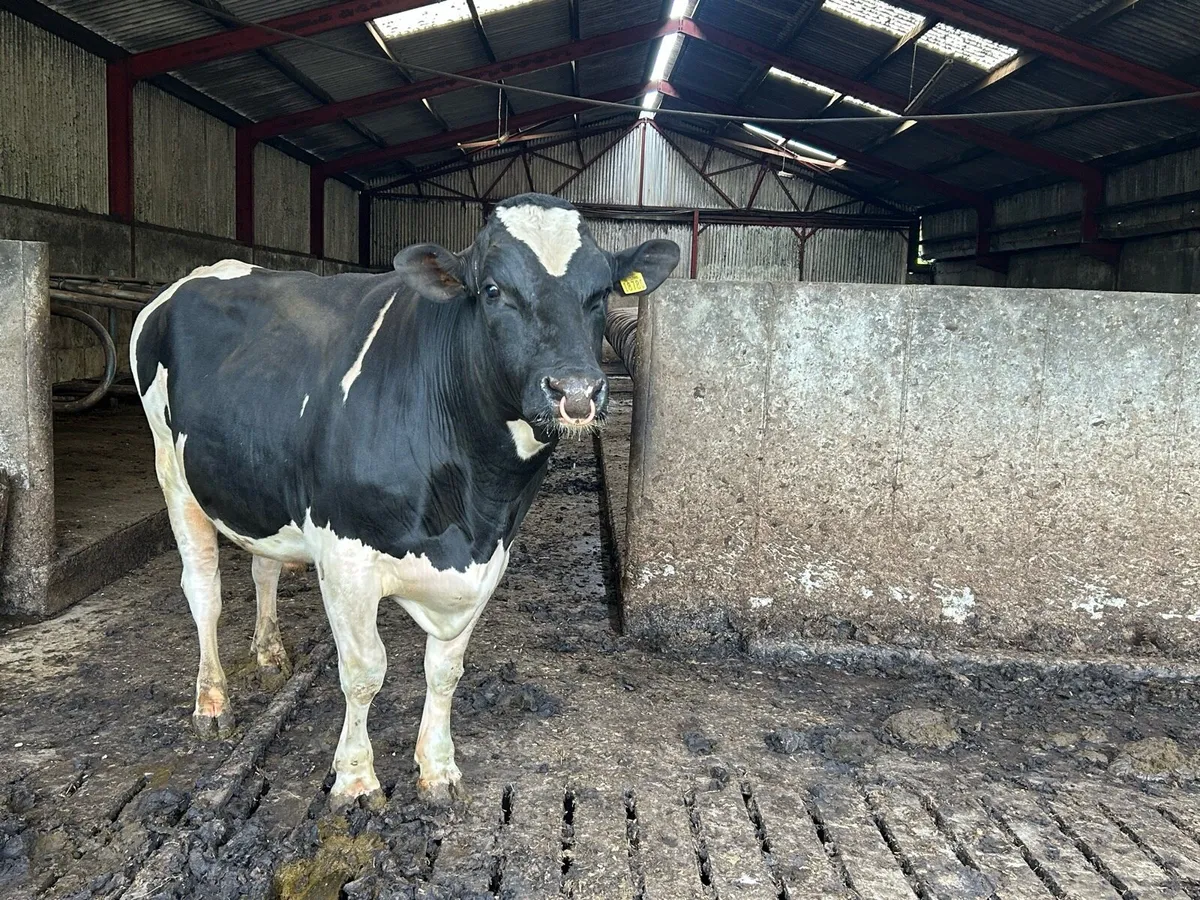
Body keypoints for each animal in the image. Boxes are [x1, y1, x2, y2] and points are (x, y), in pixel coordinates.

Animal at [130, 193, 679, 808]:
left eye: (602, 291)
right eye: (492, 289)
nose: (577, 392)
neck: (473, 504)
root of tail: (206, 272)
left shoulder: (490, 558)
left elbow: (445, 669)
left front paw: (437, 770)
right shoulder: (345, 555)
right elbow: (364, 671)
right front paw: (355, 780)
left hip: (258, 483)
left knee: (264, 567)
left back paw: (269, 654)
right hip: (172, 472)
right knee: (204, 592)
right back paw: (212, 703)